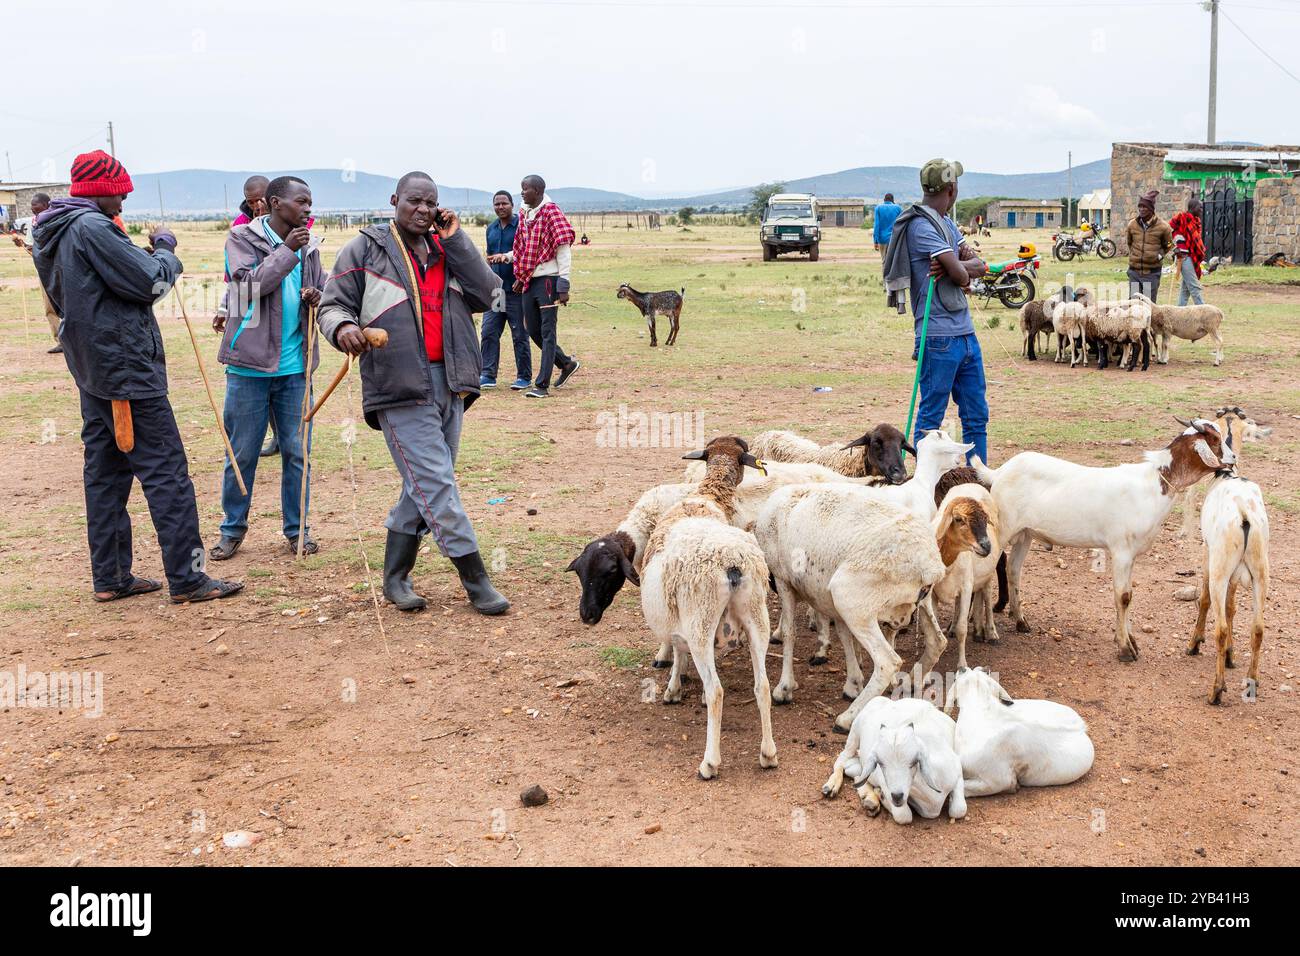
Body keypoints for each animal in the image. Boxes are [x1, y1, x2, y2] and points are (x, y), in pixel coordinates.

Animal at [821, 697, 967, 822]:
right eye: (880, 763)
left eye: (914, 762)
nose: (897, 796)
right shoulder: (885, 783)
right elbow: (904, 816)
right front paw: (881, 795)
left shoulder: (958, 772)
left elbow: (959, 810)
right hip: (854, 733)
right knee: (842, 760)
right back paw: (832, 786)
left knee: (854, 770)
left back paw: (869, 800)